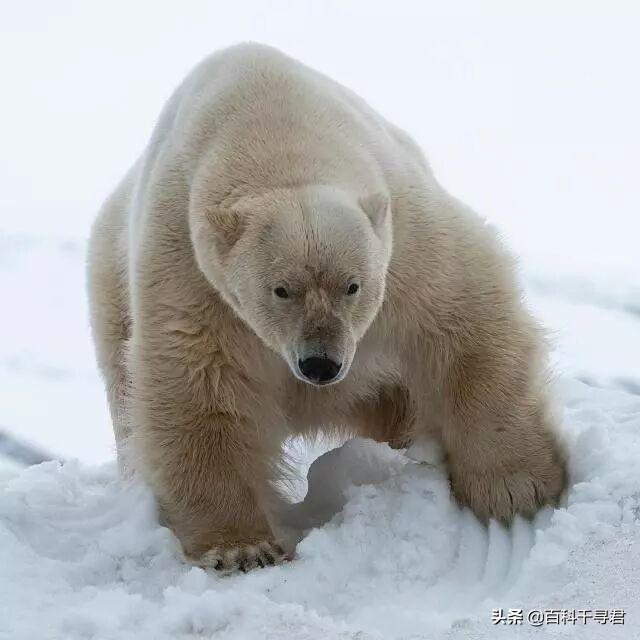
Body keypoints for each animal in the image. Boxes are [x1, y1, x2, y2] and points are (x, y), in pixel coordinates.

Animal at [89, 42, 564, 568]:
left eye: (352, 286)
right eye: (280, 289)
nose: (320, 364)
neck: (272, 128)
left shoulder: (404, 237)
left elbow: (464, 317)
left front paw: (516, 490)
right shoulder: (191, 270)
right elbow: (198, 383)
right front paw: (241, 548)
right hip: (111, 291)